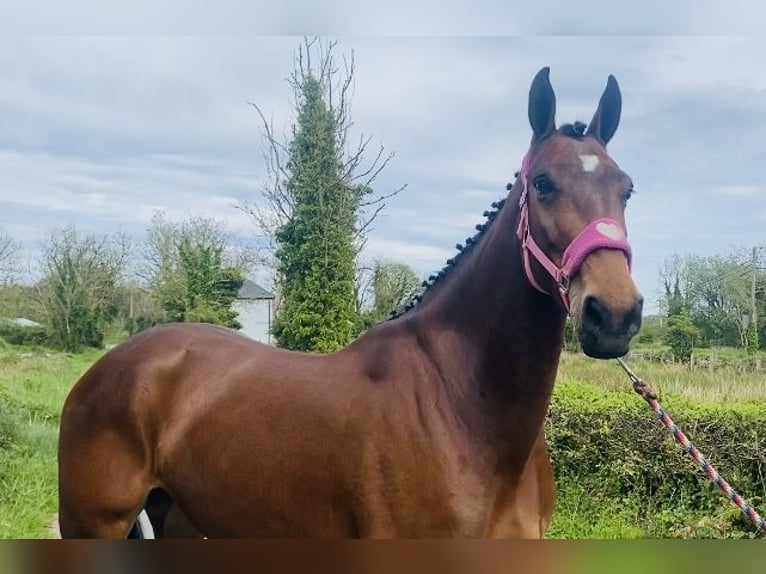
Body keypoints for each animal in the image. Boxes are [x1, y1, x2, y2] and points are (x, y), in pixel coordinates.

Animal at [58, 67, 640, 540]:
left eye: (627, 188)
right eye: (542, 183)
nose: (614, 314)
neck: (465, 415)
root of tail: (108, 366)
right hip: (92, 525)